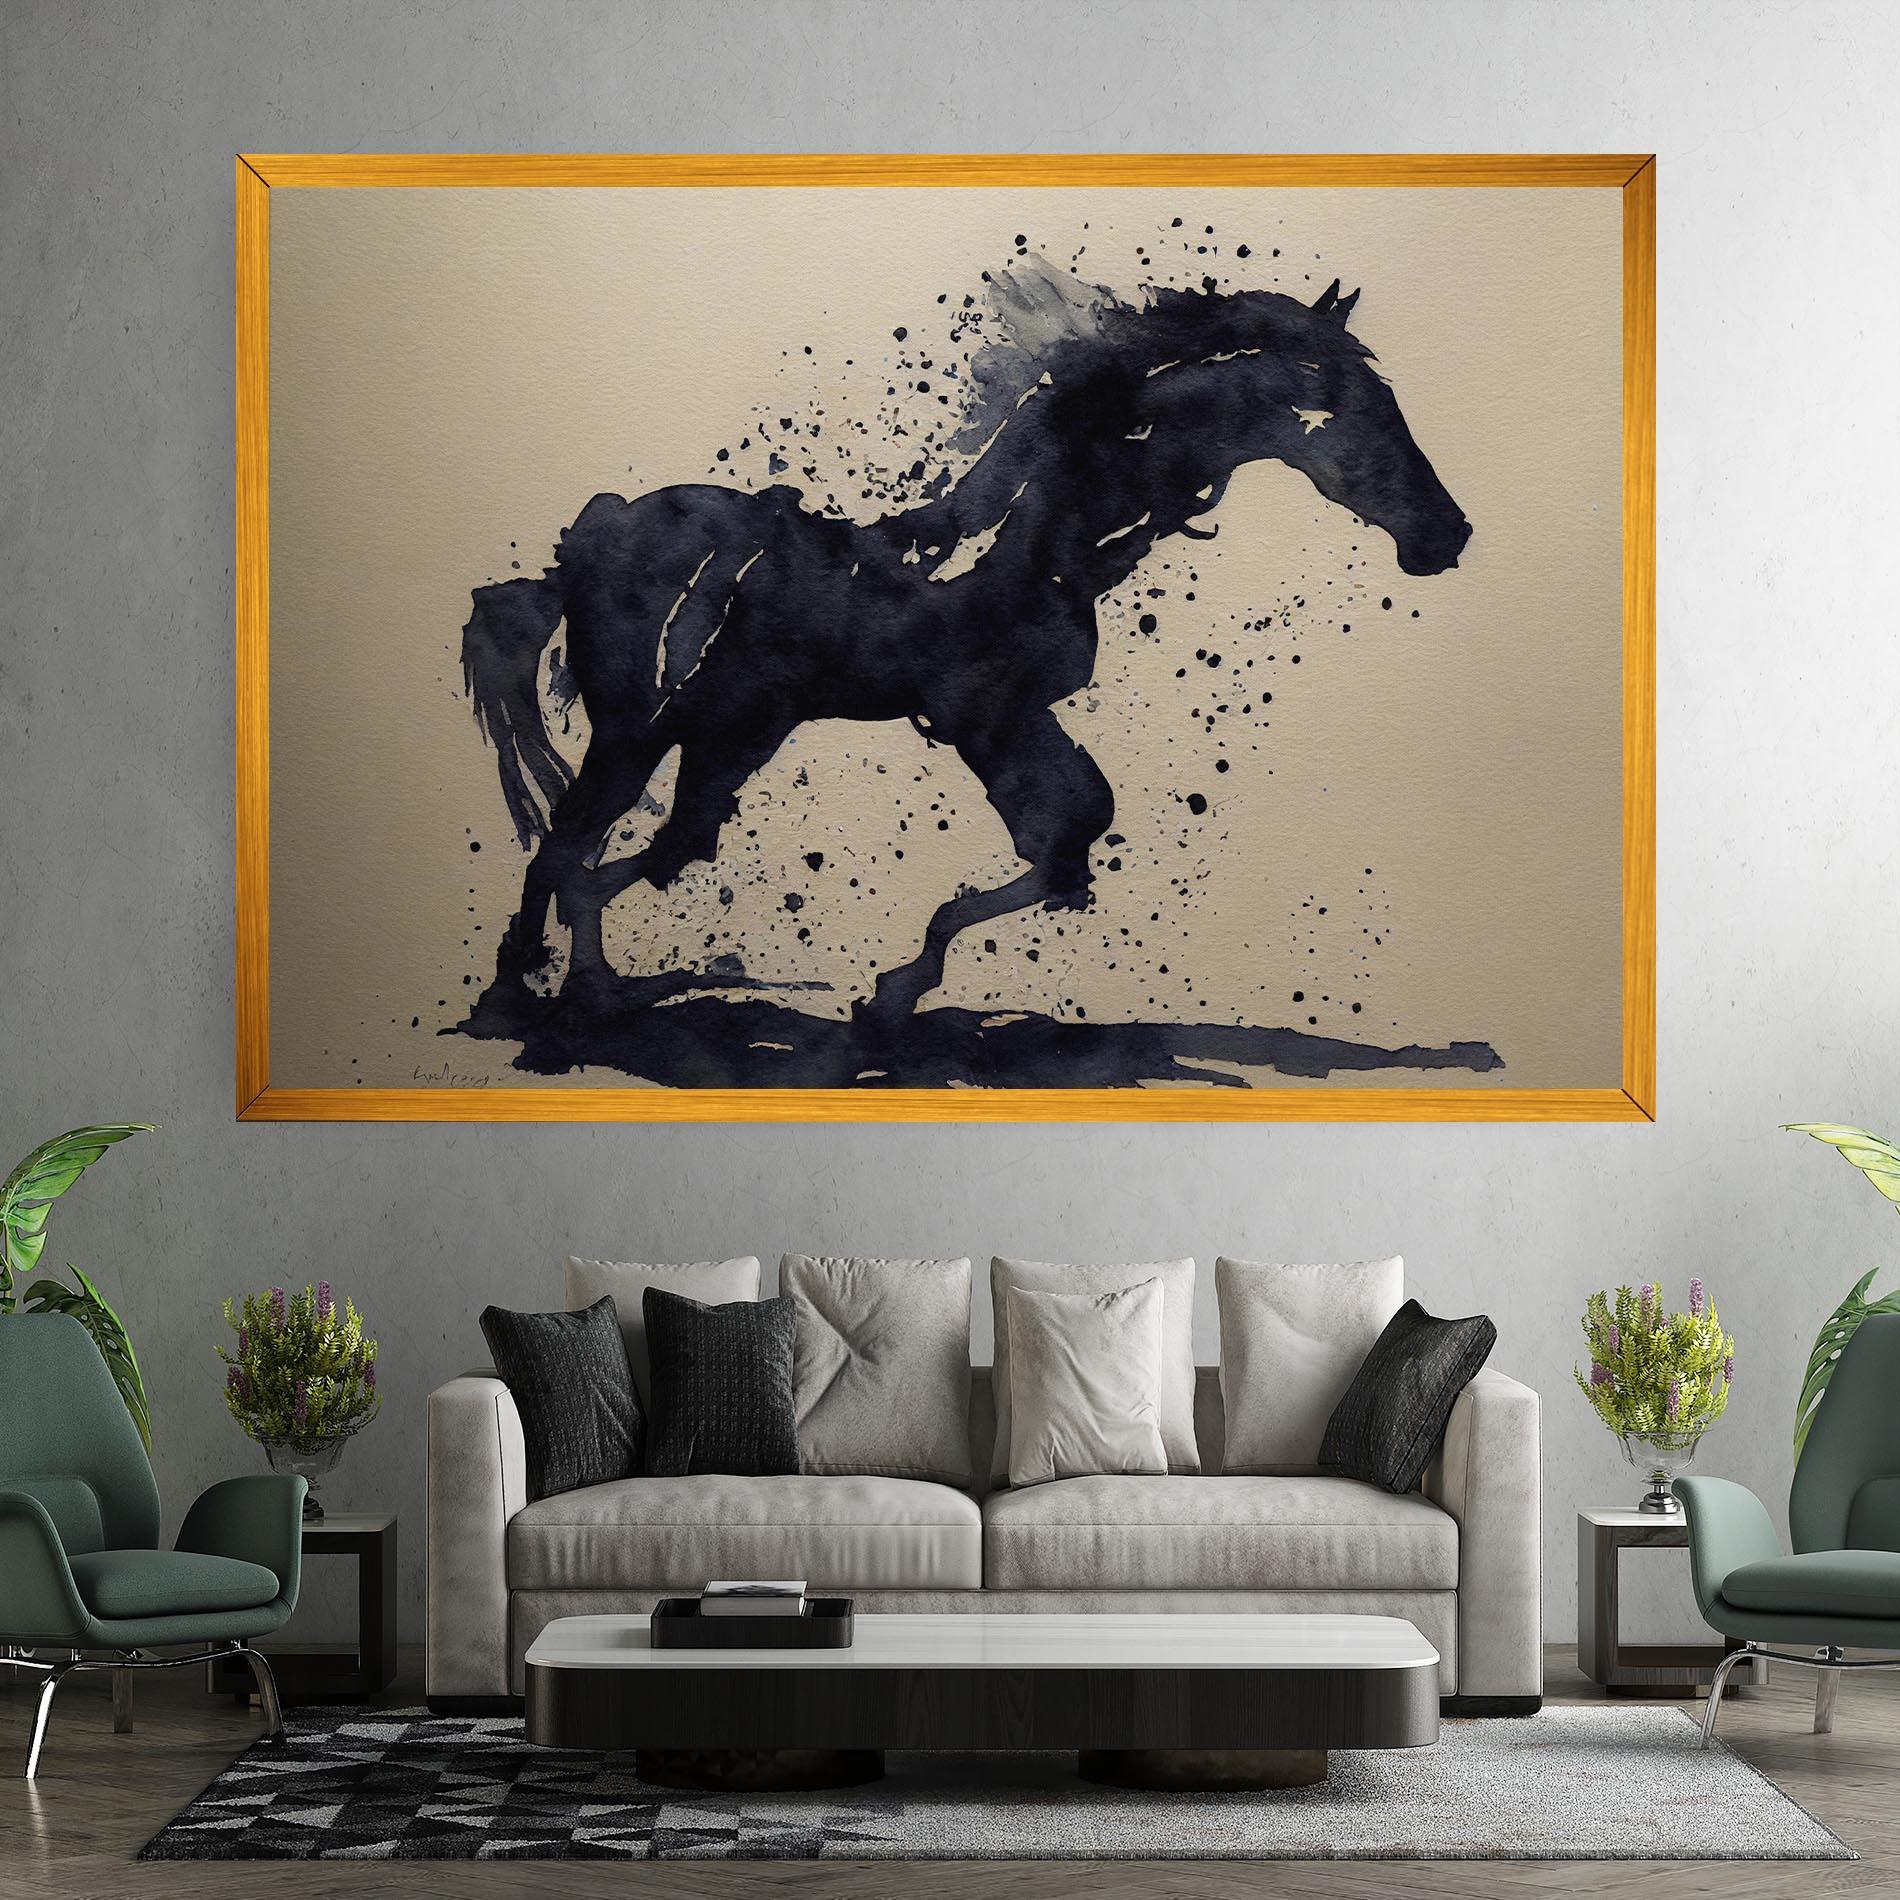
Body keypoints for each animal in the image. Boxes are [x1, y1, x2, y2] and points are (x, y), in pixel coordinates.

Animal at [458, 260, 1471, 1034]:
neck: (1046, 533)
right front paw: (892, 991)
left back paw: (586, 986)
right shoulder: (981, 719)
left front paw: (897, 989)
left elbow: (1072, 838)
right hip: (648, 730)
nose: (1448, 536)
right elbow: (1057, 838)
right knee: (579, 848)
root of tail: (588, 542)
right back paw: (540, 993)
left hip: (713, 732)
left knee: (627, 845)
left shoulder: (1020, 719)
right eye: (1363, 414)